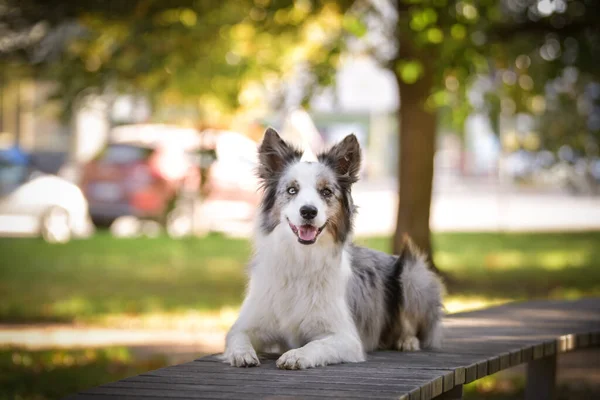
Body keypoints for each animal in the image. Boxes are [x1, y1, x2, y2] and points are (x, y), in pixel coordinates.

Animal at [223, 128, 442, 368]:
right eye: (292, 190)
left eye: (326, 192)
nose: (308, 211)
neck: (301, 260)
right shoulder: (247, 324)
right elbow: (237, 337)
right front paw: (242, 354)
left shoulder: (346, 338)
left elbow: (316, 345)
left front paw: (296, 355)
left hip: (413, 275)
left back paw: (407, 341)